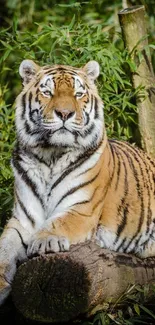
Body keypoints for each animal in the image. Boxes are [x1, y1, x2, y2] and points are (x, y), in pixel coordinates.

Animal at [0, 58, 155, 304]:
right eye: (48, 92)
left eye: (78, 93)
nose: (65, 113)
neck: (50, 155)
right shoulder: (22, 219)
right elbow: (4, 249)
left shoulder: (82, 210)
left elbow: (58, 222)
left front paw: (44, 241)